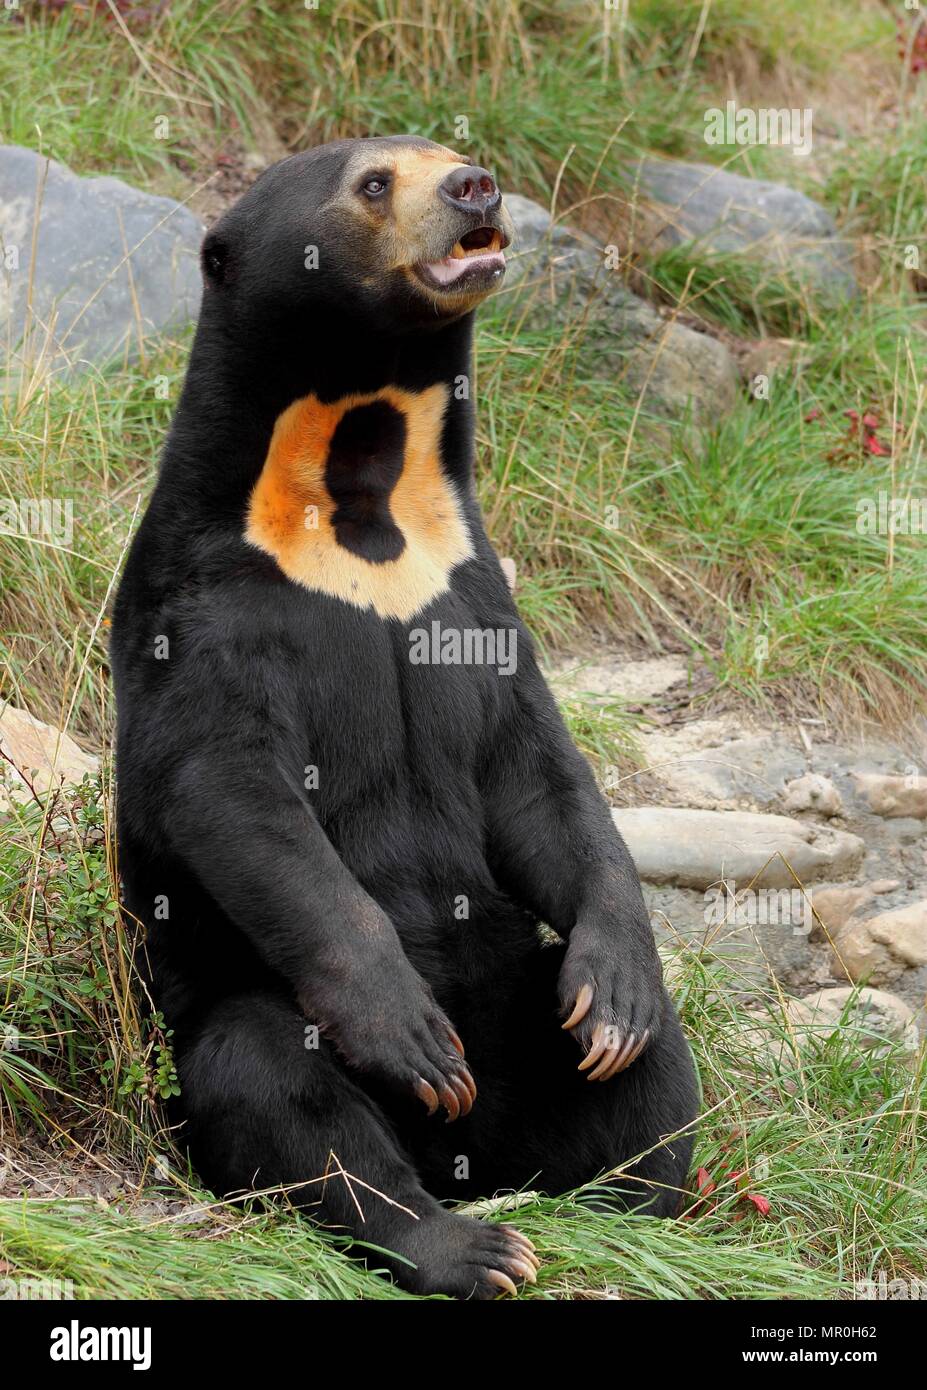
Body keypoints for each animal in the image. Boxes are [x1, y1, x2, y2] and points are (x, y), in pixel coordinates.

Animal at [110, 135, 694, 1295]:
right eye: (375, 182)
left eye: (454, 158)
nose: (475, 189)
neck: (360, 487)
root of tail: (474, 1158)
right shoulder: (201, 612)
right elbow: (232, 791)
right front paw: (410, 1033)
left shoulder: (473, 594)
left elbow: (542, 778)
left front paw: (614, 985)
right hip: (226, 1018)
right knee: (274, 1079)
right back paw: (469, 1239)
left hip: (523, 1009)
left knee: (654, 1060)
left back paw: (634, 1206)